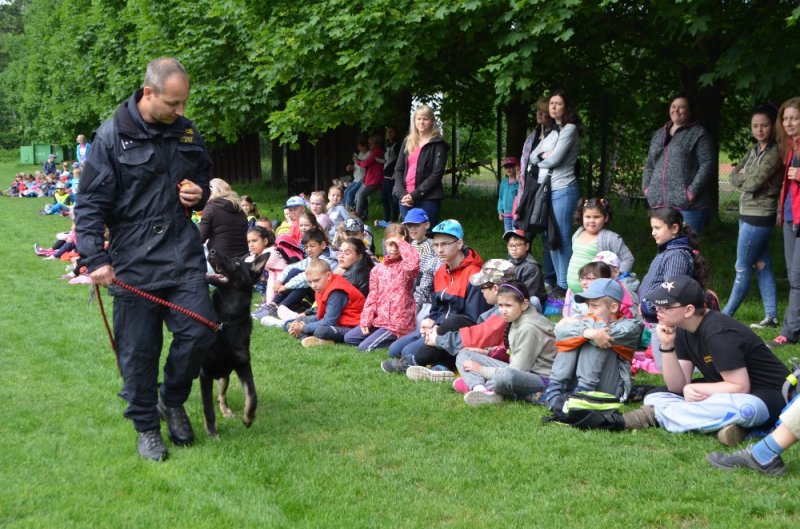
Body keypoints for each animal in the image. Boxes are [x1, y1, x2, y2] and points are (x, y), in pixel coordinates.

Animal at [202, 250, 270, 436]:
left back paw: (226, 411)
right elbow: (208, 408)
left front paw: (248, 418)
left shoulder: (243, 363)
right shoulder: (205, 371)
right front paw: (212, 432)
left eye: (237, 263)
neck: (227, 321)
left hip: (224, 375)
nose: (212, 251)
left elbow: (252, 395)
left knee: (221, 395)